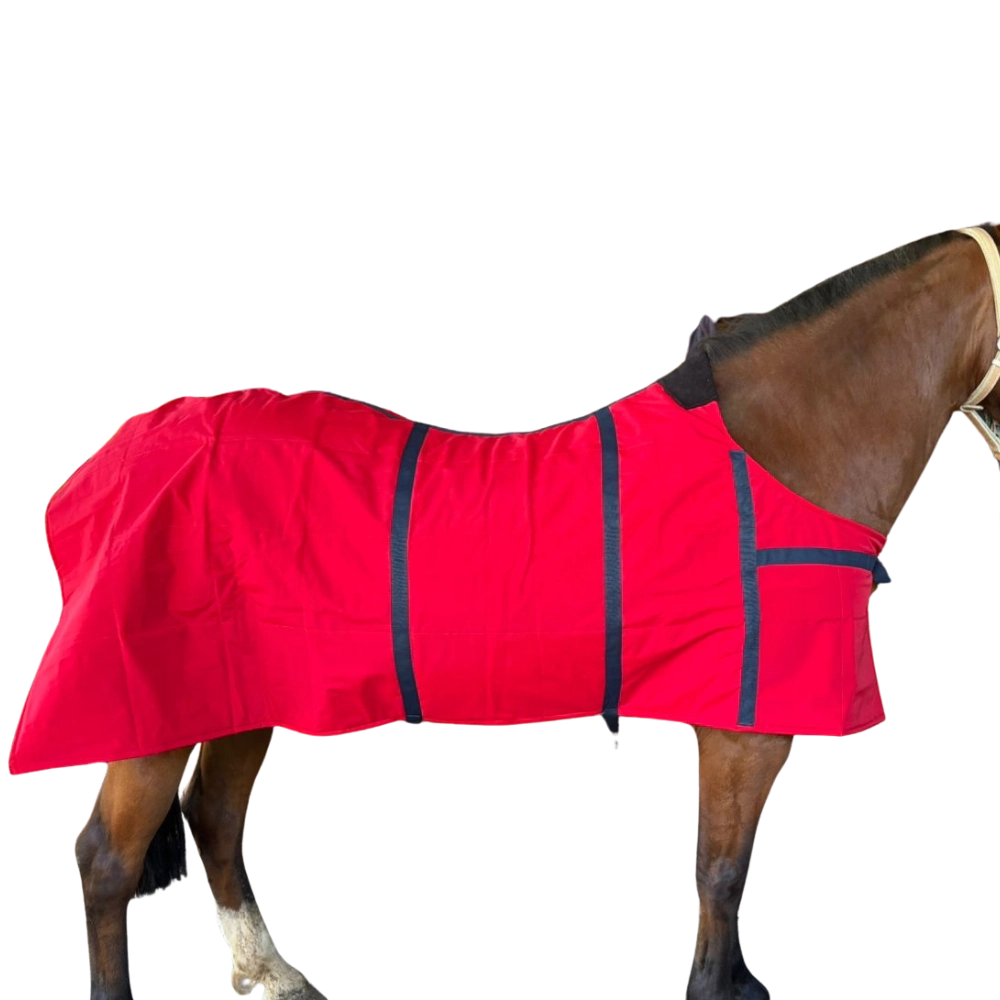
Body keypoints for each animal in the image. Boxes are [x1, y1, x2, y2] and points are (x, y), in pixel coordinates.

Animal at [17, 224, 1000, 1000]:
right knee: (107, 867)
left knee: (217, 828)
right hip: (148, 708)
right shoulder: (742, 725)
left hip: (241, 696)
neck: (779, 451)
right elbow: (722, 877)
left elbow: (727, 874)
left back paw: (269, 975)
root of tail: (108, 460)